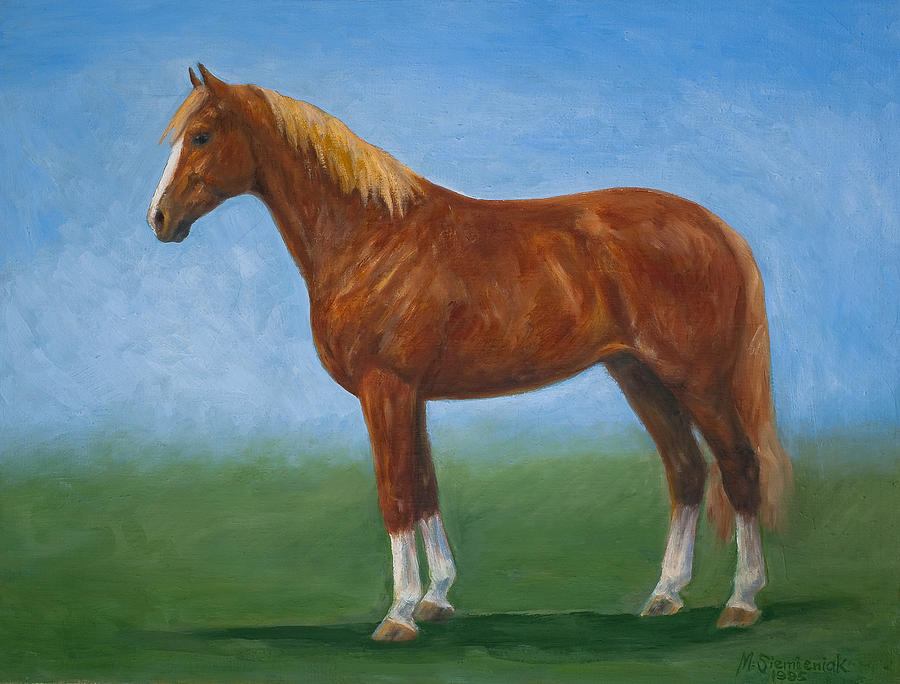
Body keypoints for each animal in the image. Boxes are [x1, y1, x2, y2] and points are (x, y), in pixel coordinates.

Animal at [148, 65, 792, 642]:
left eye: (201, 135)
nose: (159, 219)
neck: (373, 238)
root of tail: (718, 229)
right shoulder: (412, 394)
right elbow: (425, 486)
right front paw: (436, 600)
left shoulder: (387, 387)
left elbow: (396, 492)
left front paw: (399, 615)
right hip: (638, 375)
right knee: (686, 470)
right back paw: (665, 596)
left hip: (696, 380)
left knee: (739, 467)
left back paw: (741, 602)